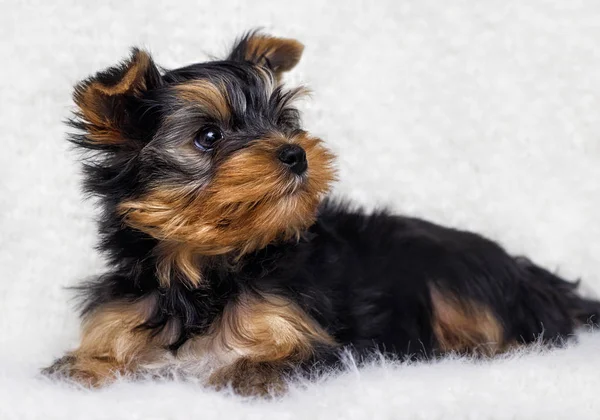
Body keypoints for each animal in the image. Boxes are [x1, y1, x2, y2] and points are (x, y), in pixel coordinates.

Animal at [44, 31, 600, 396]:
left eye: (285, 121)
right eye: (208, 136)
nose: (296, 153)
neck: (203, 269)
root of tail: (533, 276)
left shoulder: (318, 341)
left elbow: (274, 360)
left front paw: (234, 375)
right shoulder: (123, 315)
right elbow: (86, 362)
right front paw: (76, 371)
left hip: (455, 279)